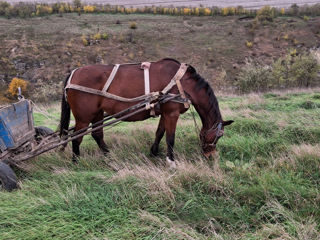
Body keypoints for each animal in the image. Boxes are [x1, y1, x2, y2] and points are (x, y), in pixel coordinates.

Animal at [58, 58, 232, 167]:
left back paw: (109, 156)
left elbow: (160, 132)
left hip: (97, 113)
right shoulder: (172, 113)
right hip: (84, 116)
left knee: (97, 134)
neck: (182, 83)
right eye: (219, 135)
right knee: (77, 137)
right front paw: (171, 161)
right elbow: (170, 138)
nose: (211, 156)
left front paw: (154, 152)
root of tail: (73, 73)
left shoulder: (165, 112)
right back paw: (76, 161)